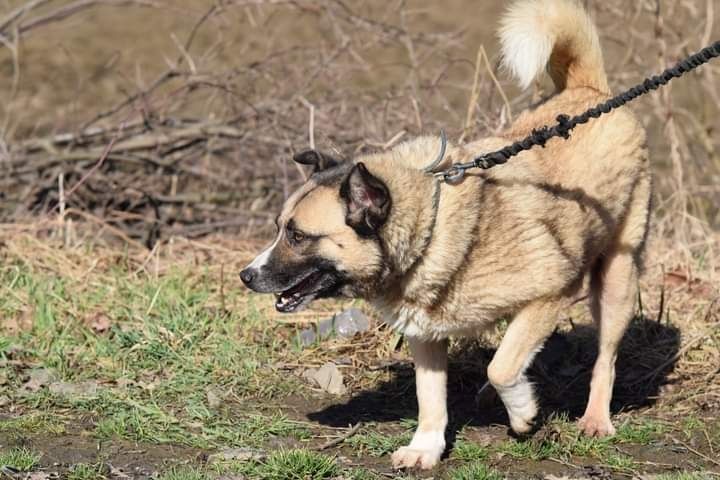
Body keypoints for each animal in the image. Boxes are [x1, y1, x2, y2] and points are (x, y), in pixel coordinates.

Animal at [242, 0, 652, 468]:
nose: (246, 275)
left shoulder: (552, 294)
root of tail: (591, 92)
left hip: (617, 280)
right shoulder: (425, 336)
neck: (430, 229)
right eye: (279, 228)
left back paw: (595, 418)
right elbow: (431, 397)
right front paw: (426, 448)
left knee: (604, 358)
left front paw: (523, 415)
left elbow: (502, 366)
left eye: (297, 236)